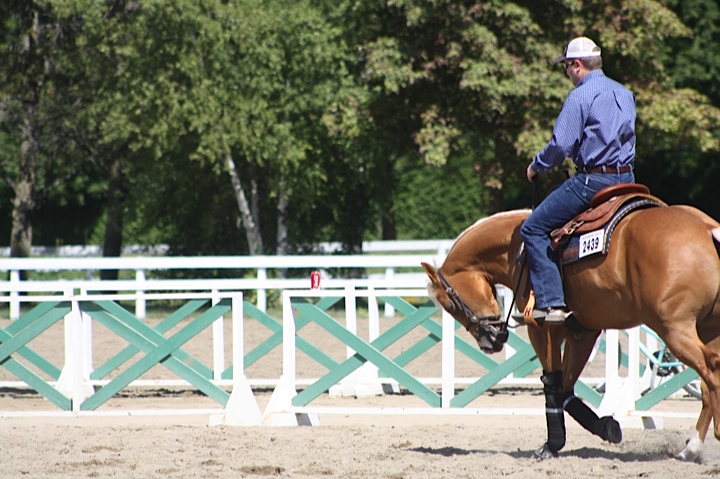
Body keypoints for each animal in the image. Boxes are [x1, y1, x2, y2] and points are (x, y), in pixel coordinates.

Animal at [421, 196, 720, 461]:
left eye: (450, 305)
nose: (489, 342)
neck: (519, 249)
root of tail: (707, 229)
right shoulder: (582, 333)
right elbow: (565, 389)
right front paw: (606, 427)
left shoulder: (542, 331)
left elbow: (552, 384)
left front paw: (552, 445)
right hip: (706, 330)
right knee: (706, 385)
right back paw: (691, 448)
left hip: (675, 331)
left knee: (711, 371)